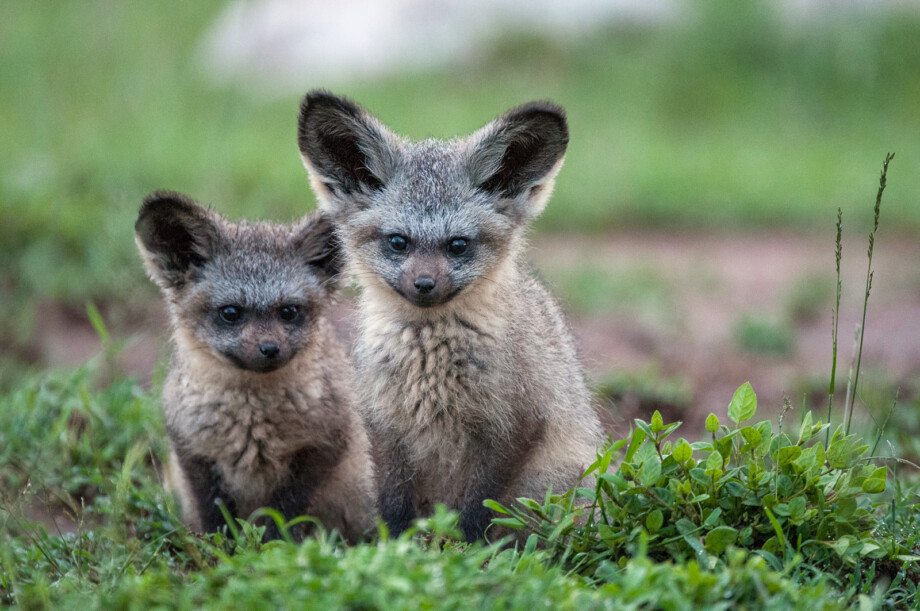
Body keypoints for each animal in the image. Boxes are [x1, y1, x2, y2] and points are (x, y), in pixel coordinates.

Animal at [134, 190, 375, 542]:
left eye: (288, 311)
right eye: (231, 313)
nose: (270, 349)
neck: (252, 424)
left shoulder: (324, 445)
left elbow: (286, 511)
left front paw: (272, 546)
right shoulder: (192, 449)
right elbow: (214, 515)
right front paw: (220, 548)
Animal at [295, 91, 603, 542]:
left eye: (457, 245)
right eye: (398, 242)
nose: (424, 284)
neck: (430, 369)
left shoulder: (514, 426)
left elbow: (479, 510)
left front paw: (467, 551)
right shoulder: (384, 425)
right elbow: (394, 507)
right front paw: (396, 549)